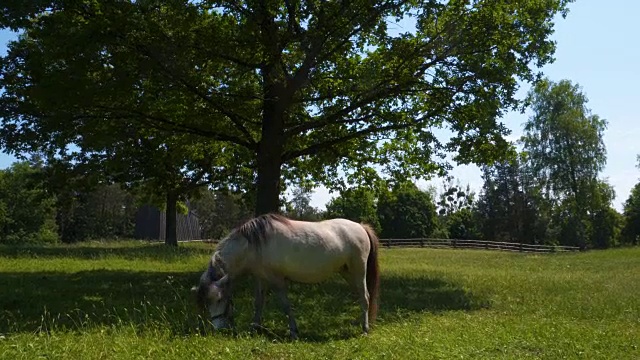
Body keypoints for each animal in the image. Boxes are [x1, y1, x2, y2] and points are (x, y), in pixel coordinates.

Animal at [192, 214, 378, 340]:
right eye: (206, 302)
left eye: (219, 299)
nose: (219, 330)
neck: (254, 245)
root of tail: (361, 226)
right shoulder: (260, 279)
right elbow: (258, 304)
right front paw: (254, 328)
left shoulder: (277, 281)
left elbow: (286, 306)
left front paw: (294, 332)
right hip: (347, 273)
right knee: (360, 296)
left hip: (359, 271)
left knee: (365, 297)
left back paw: (365, 329)